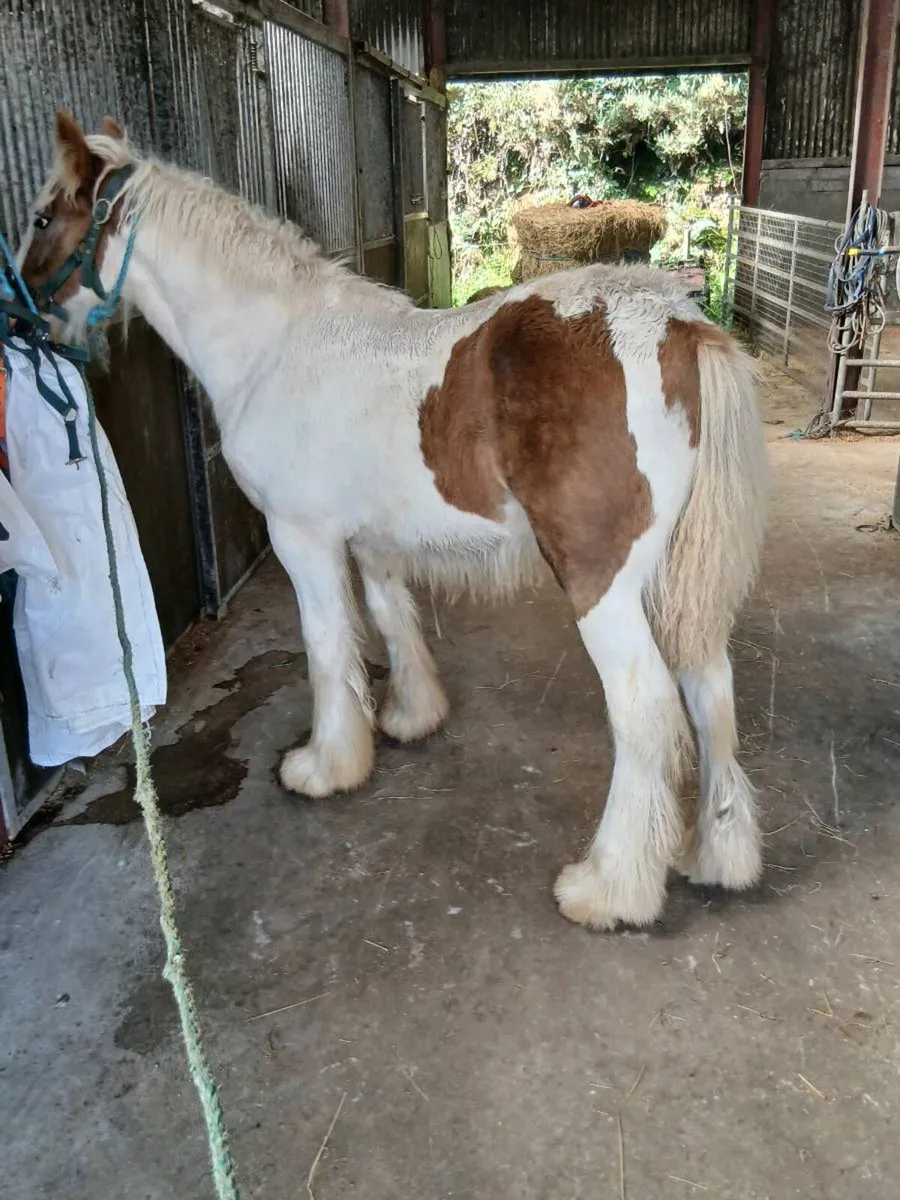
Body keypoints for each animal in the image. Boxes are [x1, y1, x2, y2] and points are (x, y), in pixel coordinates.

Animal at [18, 112, 768, 930]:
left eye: (43, 216)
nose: (21, 314)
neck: (271, 345)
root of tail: (678, 326)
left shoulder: (302, 538)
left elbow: (325, 645)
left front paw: (326, 765)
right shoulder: (373, 542)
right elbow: (390, 618)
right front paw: (411, 716)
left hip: (600, 582)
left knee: (645, 709)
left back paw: (609, 887)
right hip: (675, 581)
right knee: (710, 689)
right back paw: (717, 856)